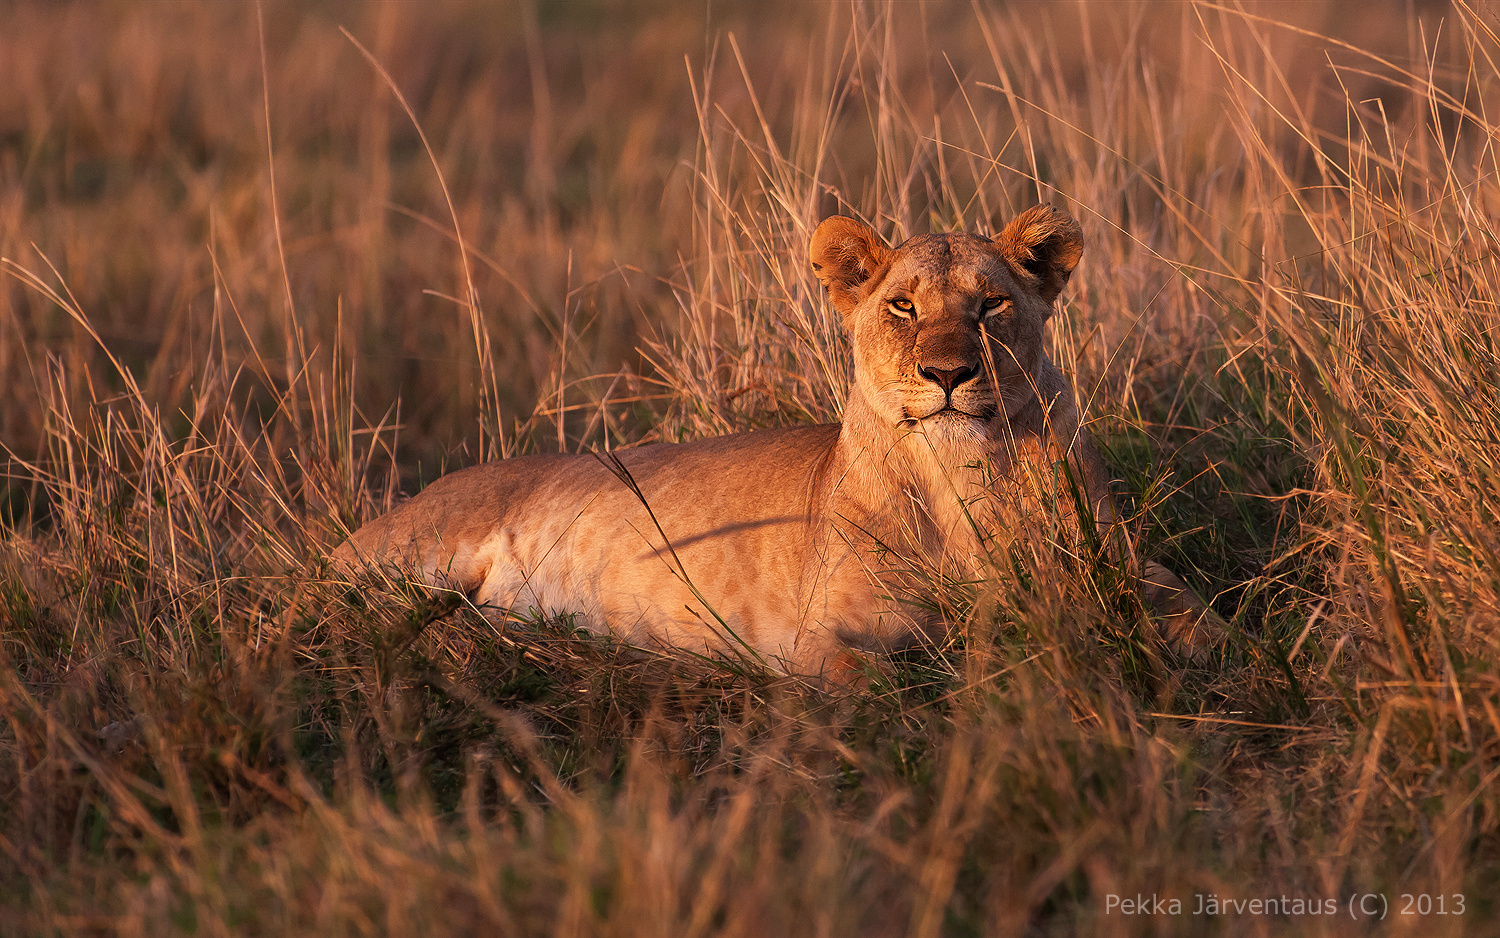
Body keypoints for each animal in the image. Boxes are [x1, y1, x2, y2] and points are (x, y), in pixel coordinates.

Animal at [334, 204, 1224, 675]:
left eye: (992, 305)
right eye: (903, 306)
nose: (946, 373)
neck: (961, 472)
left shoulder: (1121, 566)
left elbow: (1201, 613)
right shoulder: (817, 639)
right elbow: (880, 684)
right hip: (406, 554)